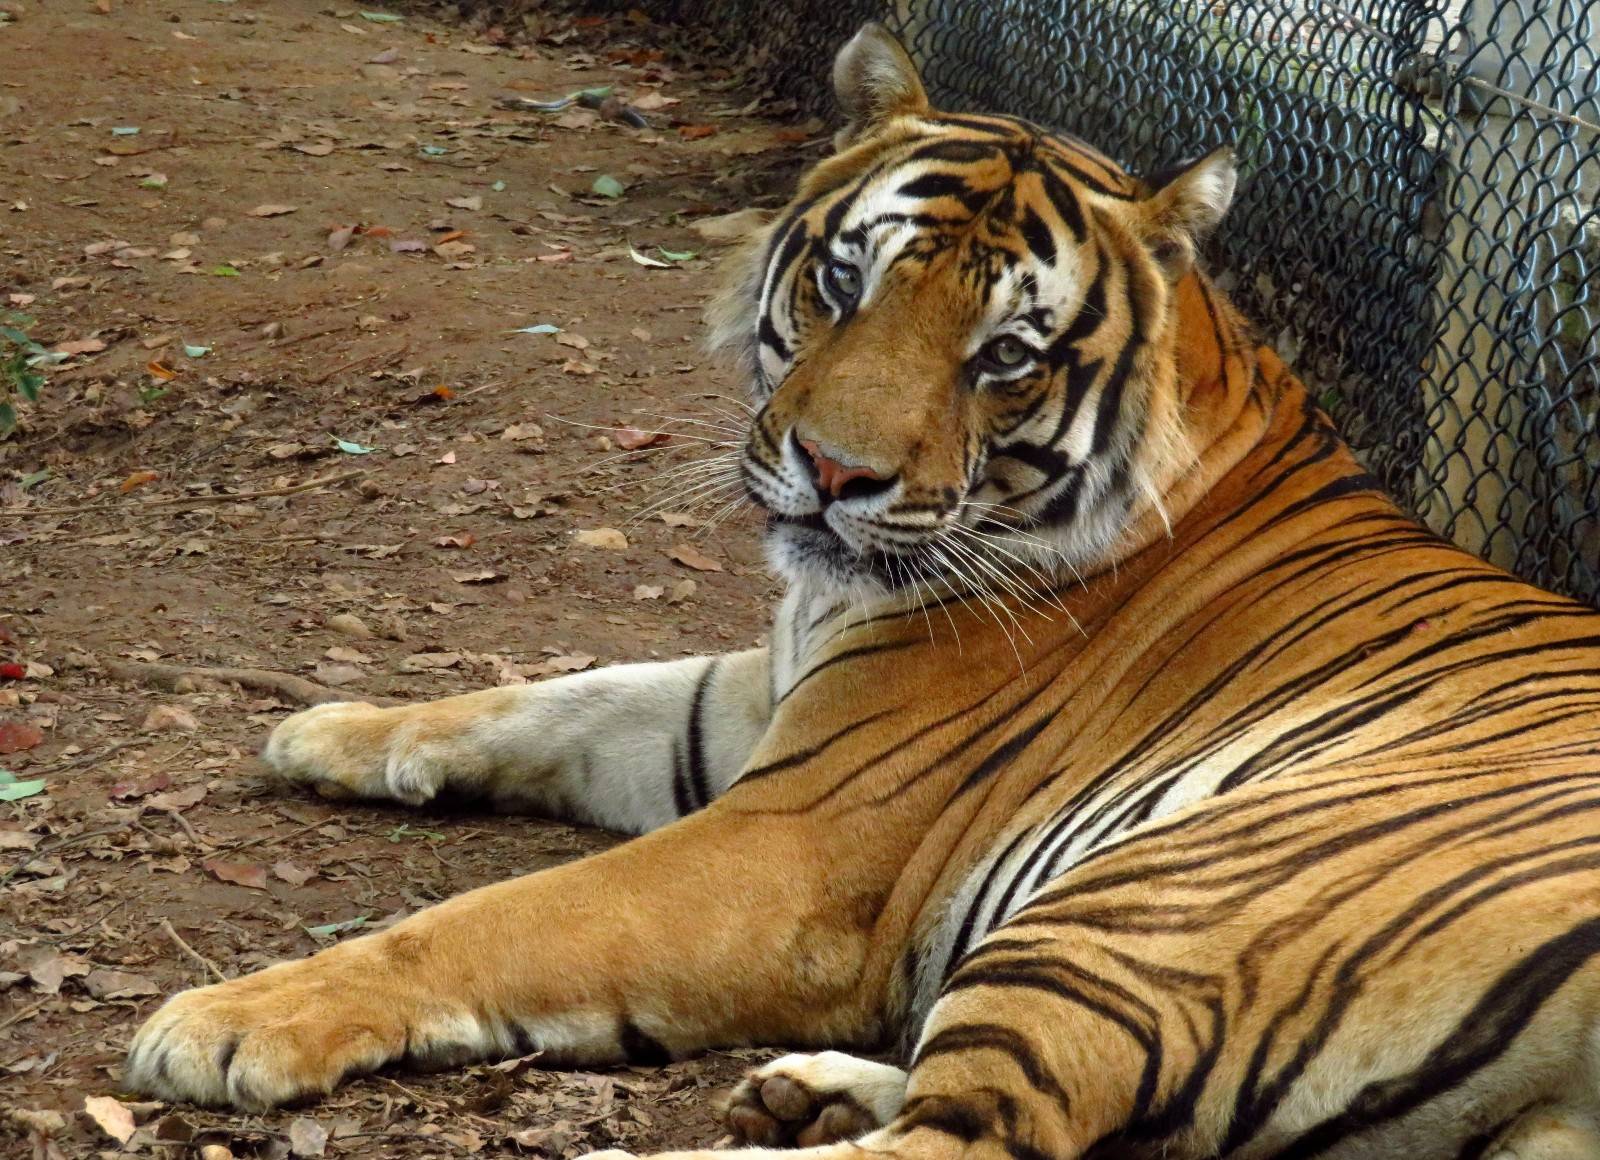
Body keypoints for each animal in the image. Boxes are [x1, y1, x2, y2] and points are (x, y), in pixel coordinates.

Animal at [121, 24, 1600, 1158]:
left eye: (1006, 355)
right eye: (844, 281)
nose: (835, 474)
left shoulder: (791, 844)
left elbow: (491, 922)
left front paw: (227, 1020)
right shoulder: (755, 707)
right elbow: (551, 697)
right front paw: (329, 730)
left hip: (1158, 896)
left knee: (979, 1138)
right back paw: (804, 1092)